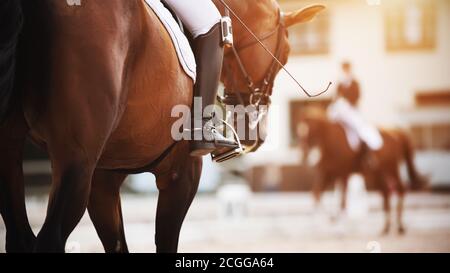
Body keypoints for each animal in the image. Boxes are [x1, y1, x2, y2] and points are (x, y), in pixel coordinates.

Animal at [0, 0, 324, 252]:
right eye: (284, 56)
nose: (256, 134)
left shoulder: (104, 178)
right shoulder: (181, 174)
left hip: (15, 155)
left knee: (20, 237)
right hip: (75, 160)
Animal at [298, 108, 428, 234]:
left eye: (310, 131)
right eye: (299, 133)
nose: (304, 155)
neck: (330, 142)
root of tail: (396, 133)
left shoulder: (343, 173)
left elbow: (342, 200)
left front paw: (337, 223)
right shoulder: (328, 173)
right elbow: (316, 193)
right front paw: (322, 221)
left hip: (391, 168)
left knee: (400, 189)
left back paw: (400, 226)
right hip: (378, 173)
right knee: (385, 192)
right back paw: (386, 227)